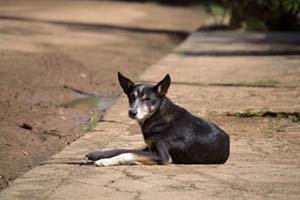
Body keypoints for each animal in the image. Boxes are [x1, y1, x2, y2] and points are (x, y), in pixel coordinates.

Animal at [85, 72, 231, 166]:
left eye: (147, 99)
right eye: (131, 97)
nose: (132, 112)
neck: (157, 116)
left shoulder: (163, 156)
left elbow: (127, 154)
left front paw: (105, 161)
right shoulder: (148, 148)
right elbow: (121, 149)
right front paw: (98, 154)